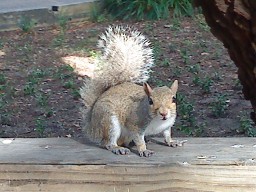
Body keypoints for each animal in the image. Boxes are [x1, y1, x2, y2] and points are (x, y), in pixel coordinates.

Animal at [81, 25, 179, 157]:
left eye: (174, 99)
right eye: (150, 101)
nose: (163, 113)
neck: (158, 121)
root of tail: (92, 125)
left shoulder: (167, 125)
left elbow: (167, 134)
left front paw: (172, 142)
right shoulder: (134, 125)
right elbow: (139, 140)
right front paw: (144, 150)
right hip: (109, 121)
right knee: (107, 142)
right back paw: (117, 148)